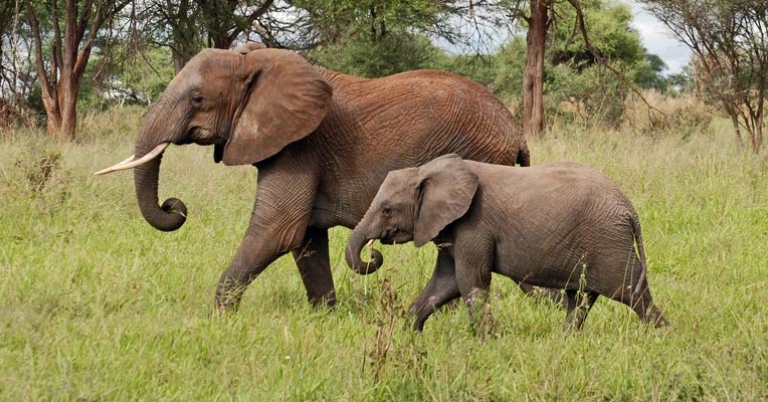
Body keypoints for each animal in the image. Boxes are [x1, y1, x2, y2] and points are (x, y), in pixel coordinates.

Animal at [95, 42, 531, 313]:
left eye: (198, 99)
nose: (174, 205)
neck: (256, 62)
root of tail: (516, 132)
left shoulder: (300, 145)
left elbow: (278, 229)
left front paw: (219, 316)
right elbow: (304, 238)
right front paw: (326, 315)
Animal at [346, 154, 669, 332]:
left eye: (387, 209)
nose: (373, 254)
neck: (426, 171)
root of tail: (629, 209)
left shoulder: (474, 226)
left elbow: (470, 281)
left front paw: (486, 342)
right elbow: (444, 283)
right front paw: (409, 334)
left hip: (608, 242)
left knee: (631, 291)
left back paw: (662, 336)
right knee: (580, 298)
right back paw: (565, 340)